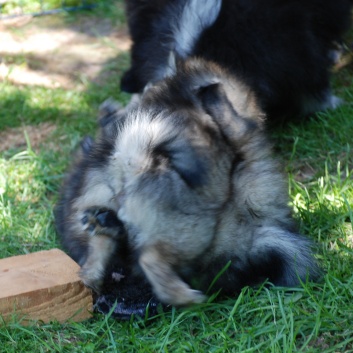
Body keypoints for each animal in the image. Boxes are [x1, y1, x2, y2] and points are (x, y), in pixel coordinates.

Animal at [54, 58, 320, 314]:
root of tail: (137, 165)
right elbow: (239, 128)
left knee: (104, 246)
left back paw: (95, 266)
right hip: (185, 231)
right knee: (152, 258)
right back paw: (185, 297)